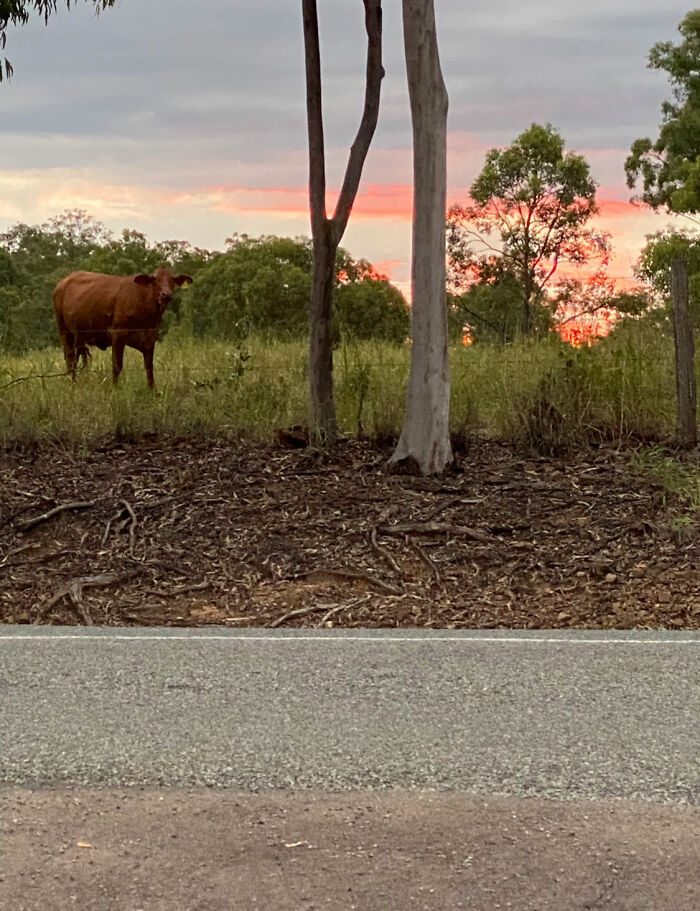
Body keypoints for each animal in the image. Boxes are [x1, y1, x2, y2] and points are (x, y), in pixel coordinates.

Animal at [53, 266, 192, 388]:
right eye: (155, 280)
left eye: (172, 281)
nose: (166, 294)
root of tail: (63, 282)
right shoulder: (118, 335)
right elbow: (117, 366)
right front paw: (115, 389)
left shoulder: (150, 337)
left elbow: (149, 367)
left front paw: (153, 390)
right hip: (64, 331)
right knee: (70, 359)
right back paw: (72, 384)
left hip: (79, 336)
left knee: (75, 359)